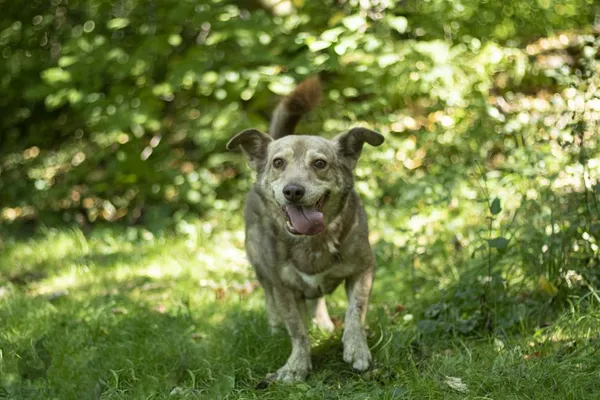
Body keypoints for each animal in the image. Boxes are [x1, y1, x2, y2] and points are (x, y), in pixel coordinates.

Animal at [225, 75, 384, 382]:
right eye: (278, 163)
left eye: (320, 163)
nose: (293, 191)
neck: (312, 242)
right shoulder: (284, 288)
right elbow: (297, 331)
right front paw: (297, 365)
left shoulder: (363, 269)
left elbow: (355, 311)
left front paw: (356, 348)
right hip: (261, 269)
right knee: (271, 301)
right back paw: (275, 329)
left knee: (317, 299)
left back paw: (323, 325)